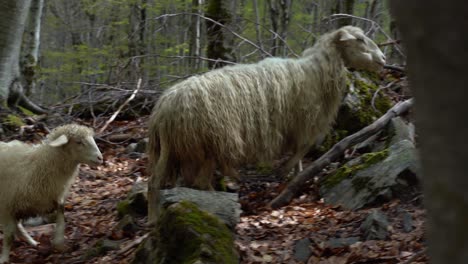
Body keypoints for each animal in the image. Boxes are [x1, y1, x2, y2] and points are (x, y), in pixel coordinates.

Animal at [0, 124, 103, 264]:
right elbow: (9, 235)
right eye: (78, 142)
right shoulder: (6, 207)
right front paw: (4, 258)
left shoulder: (50, 198)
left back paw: (33, 243)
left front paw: (58, 242)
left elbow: (61, 212)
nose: (100, 158)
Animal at [148, 26, 386, 221]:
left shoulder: (296, 127)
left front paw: (295, 175)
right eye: (359, 39)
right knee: (198, 182)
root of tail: (163, 108)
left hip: (176, 151)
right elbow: (303, 149)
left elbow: (300, 153)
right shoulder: (304, 122)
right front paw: (287, 171)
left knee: (157, 183)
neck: (314, 73)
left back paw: (155, 217)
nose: (383, 59)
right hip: (211, 143)